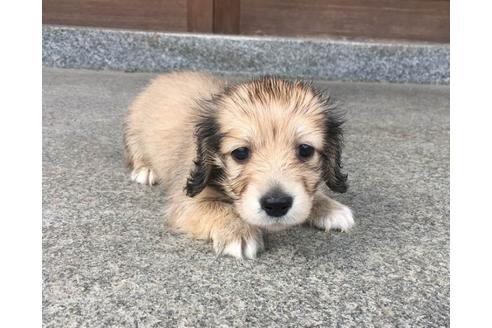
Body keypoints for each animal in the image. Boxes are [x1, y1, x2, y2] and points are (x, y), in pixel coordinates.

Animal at [123, 71, 354, 258]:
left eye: (305, 150)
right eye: (240, 153)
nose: (276, 204)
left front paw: (329, 207)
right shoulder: (187, 202)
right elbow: (216, 207)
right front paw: (238, 231)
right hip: (133, 129)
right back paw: (145, 170)